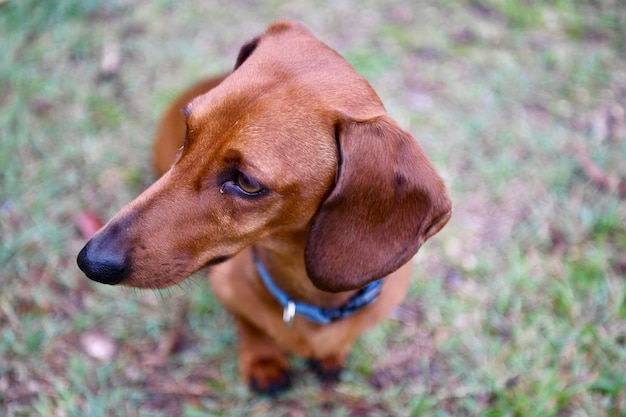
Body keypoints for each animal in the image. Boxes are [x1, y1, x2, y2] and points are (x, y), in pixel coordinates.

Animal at [77, 20, 448, 394]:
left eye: (248, 183)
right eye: (188, 129)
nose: (91, 262)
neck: (309, 299)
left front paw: (333, 355)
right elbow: (250, 324)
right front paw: (263, 360)